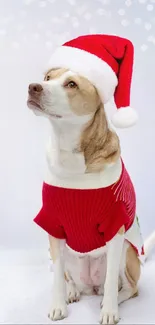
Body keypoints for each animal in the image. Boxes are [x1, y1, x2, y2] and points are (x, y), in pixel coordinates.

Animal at [27, 68, 155, 324]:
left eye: (72, 84)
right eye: (47, 78)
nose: (33, 87)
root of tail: (91, 287)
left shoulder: (115, 227)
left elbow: (111, 280)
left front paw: (109, 311)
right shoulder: (53, 225)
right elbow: (57, 276)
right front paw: (58, 305)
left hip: (127, 251)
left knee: (127, 287)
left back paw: (110, 298)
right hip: (67, 254)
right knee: (68, 276)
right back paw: (73, 291)